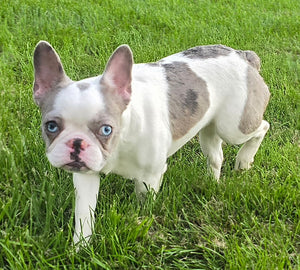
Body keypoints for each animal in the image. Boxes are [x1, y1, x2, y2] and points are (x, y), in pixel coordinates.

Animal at [32, 41, 270, 245]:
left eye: (106, 129)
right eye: (50, 126)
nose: (76, 143)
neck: (121, 140)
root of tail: (243, 56)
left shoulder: (149, 177)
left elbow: (144, 204)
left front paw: (139, 221)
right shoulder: (86, 175)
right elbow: (84, 213)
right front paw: (81, 247)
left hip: (234, 126)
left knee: (262, 127)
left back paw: (244, 160)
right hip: (210, 129)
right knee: (216, 156)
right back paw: (212, 182)